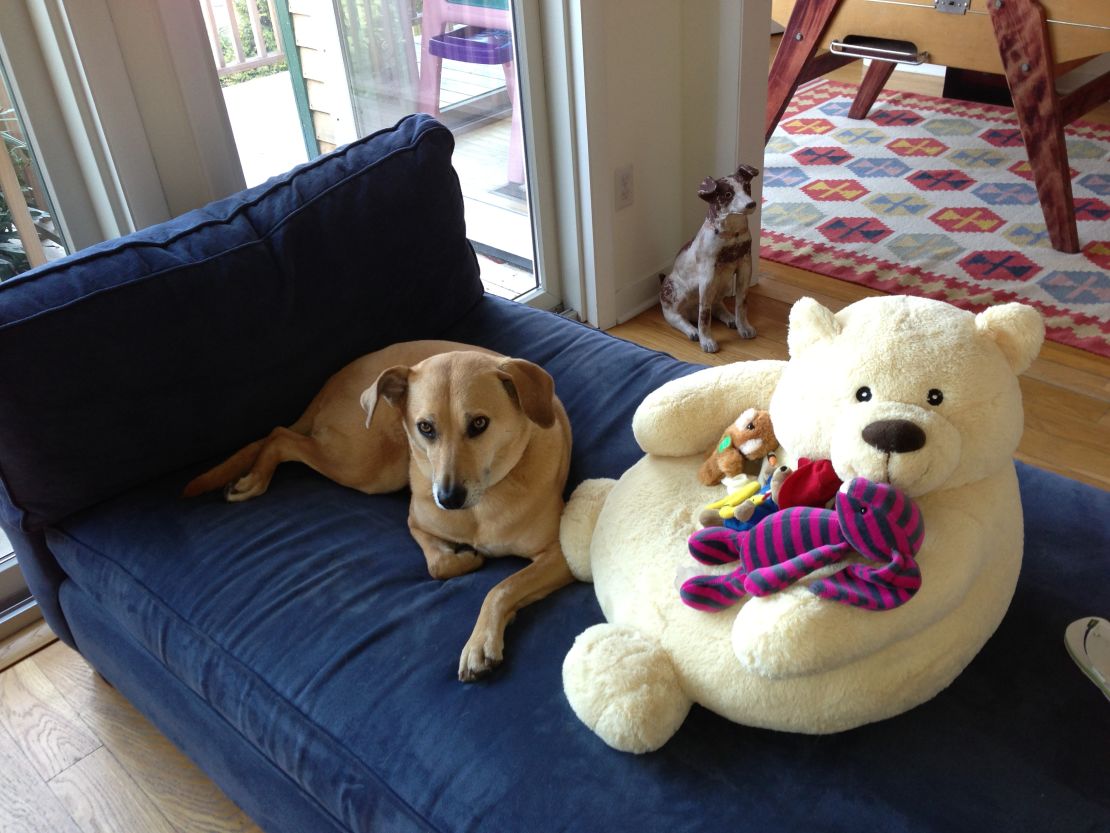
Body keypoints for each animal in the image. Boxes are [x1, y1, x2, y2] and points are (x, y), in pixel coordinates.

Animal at [182, 339, 572, 684]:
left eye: (479, 424)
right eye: (425, 427)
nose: (447, 498)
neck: (482, 503)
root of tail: (333, 381)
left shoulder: (558, 556)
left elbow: (501, 588)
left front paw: (479, 643)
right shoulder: (417, 519)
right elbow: (438, 565)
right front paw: (464, 559)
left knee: (279, 434)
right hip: (368, 467)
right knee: (280, 436)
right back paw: (254, 479)